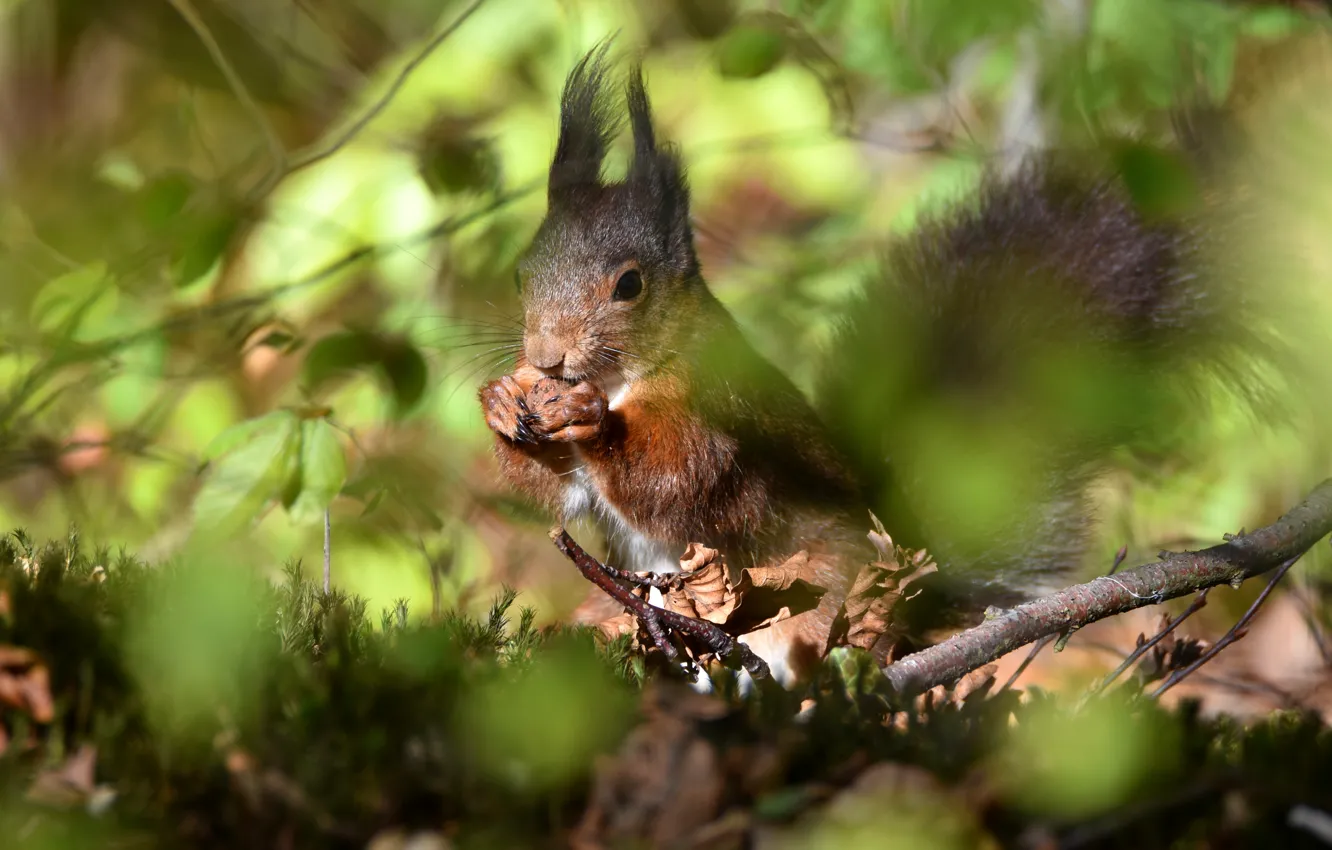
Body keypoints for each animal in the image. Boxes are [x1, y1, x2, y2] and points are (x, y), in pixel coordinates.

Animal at [482, 44, 1278, 687]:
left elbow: (678, 477)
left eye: (629, 285)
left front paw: (591, 422)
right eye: (521, 273)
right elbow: (564, 498)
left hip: (809, 605)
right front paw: (501, 404)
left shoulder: (719, 406)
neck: (628, 377)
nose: (546, 357)